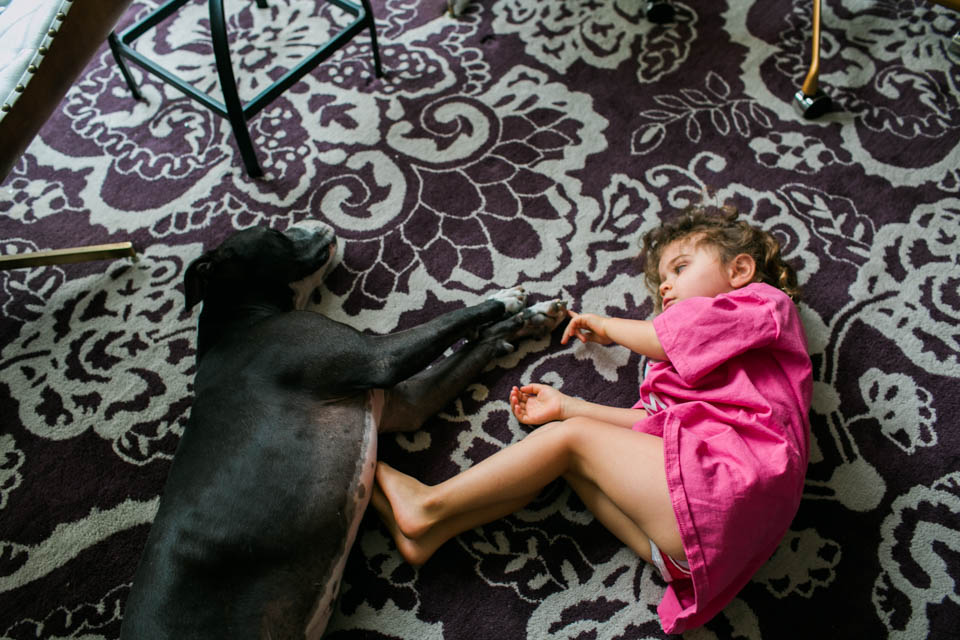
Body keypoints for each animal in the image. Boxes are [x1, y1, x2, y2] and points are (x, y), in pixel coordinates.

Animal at [123, 222, 568, 636]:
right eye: (274, 233)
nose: (313, 222)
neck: (242, 321)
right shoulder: (379, 357)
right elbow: (453, 317)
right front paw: (504, 299)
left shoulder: (407, 403)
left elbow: (480, 343)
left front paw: (532, 317)